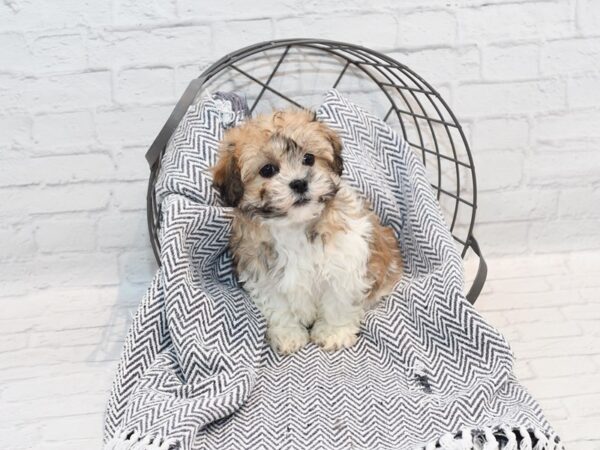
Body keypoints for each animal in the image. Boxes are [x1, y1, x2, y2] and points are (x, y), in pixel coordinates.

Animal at [212, 110, 404, 356]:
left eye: (309, 159)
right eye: (268, 170)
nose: (299, 183)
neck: (296, 225)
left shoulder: (344, 264)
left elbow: (338, 302)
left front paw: (334, 332)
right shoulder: (262, 273)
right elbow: (279, 307)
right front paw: (289, 334)